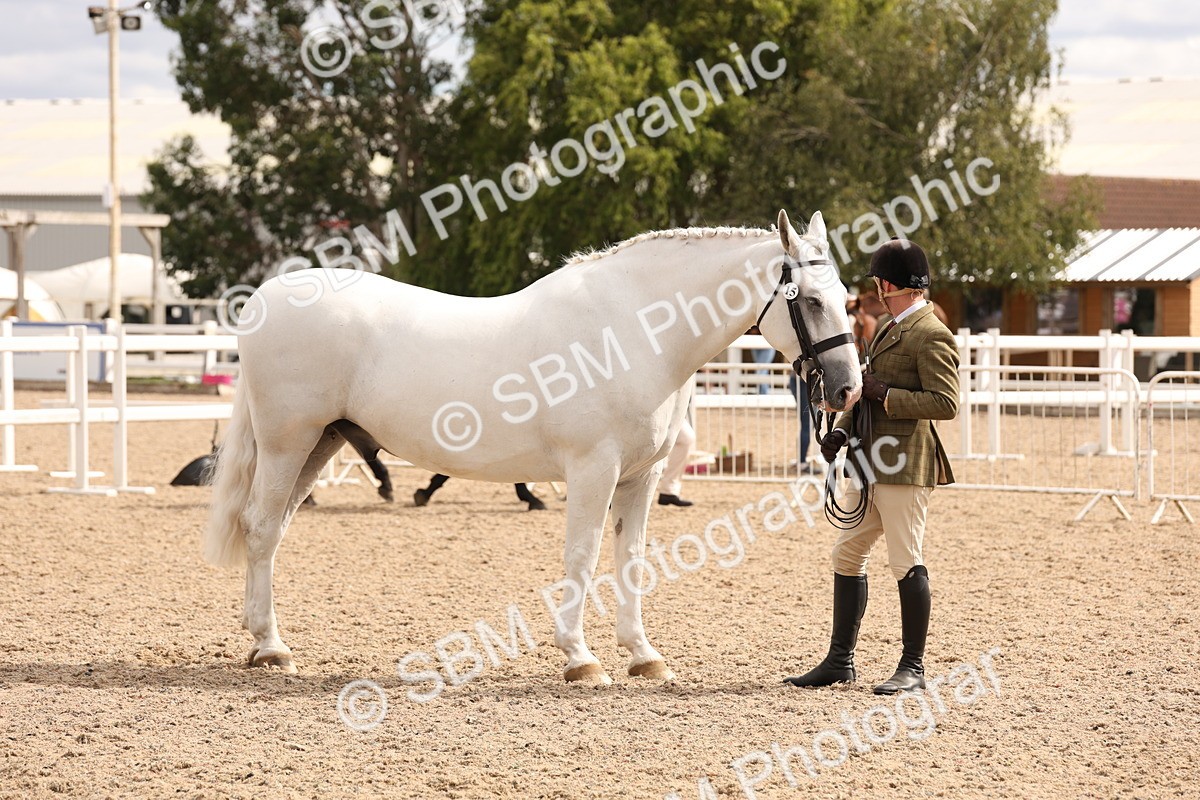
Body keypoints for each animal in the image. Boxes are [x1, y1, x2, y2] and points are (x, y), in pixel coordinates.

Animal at [204, 209, 862, 683]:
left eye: (844, 295)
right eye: (810, 299)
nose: (848, 388)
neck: (632, 330)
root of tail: (263, 299)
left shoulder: (641, 477)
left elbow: (631, 559)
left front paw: (642, 655)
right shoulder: (594, 470)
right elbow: (583, 558)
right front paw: (581, 659)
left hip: (321, 444)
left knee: (272, 532)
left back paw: (264, 641)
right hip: (288, 443)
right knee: (261, 529)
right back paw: (271, 648)